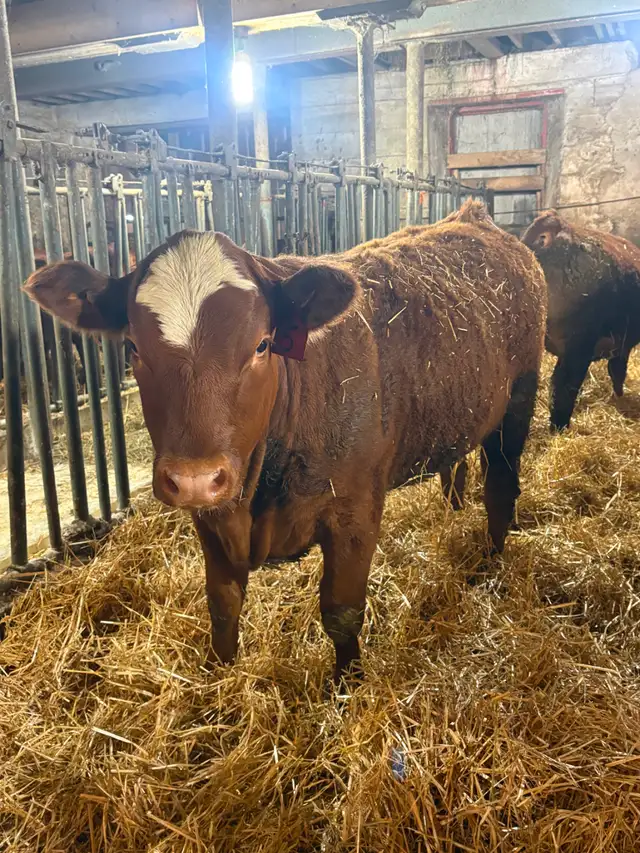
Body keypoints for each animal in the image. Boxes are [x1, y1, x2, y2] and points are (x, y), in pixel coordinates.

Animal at [24, 199, 547, 683]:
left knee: (501, 483)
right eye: (133, 347)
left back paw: (491, 563)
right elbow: (222, 607)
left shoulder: (355, 510)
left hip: (519, 398)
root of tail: (476, 218)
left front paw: (347, 687)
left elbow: (341, 612)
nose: (194, 479)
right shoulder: (211, 518)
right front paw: (217, 681)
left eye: (262, 344)